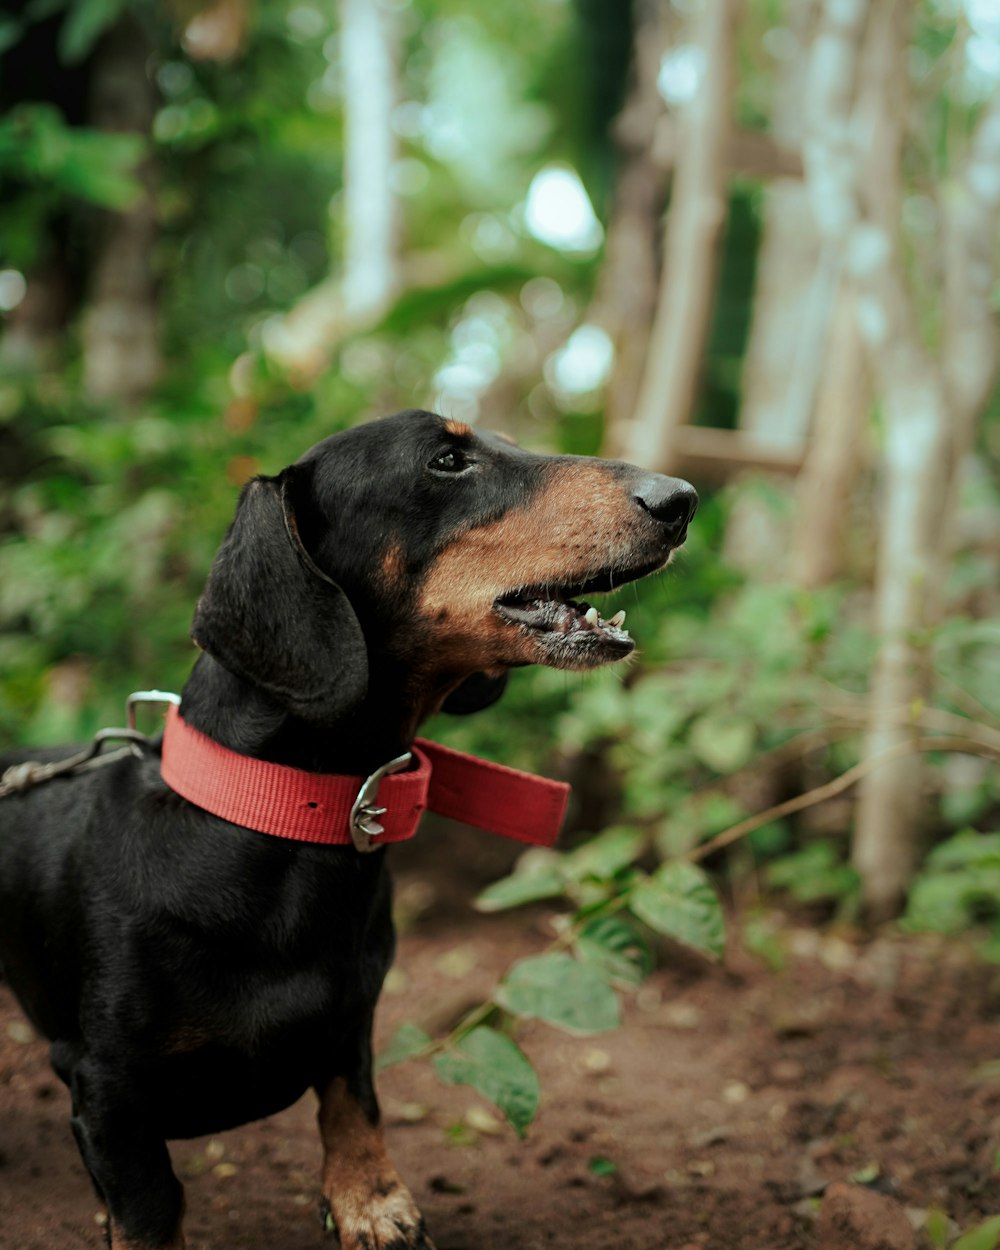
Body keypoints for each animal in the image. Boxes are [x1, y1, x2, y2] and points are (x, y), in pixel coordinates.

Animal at [0, 405, 700, 1245]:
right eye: (446, 460)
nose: (682, 499)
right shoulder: (105, 1090)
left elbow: (352, 1101)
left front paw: (371, 1197)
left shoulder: (351, 1019)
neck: (278, 813)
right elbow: (150, 1208)